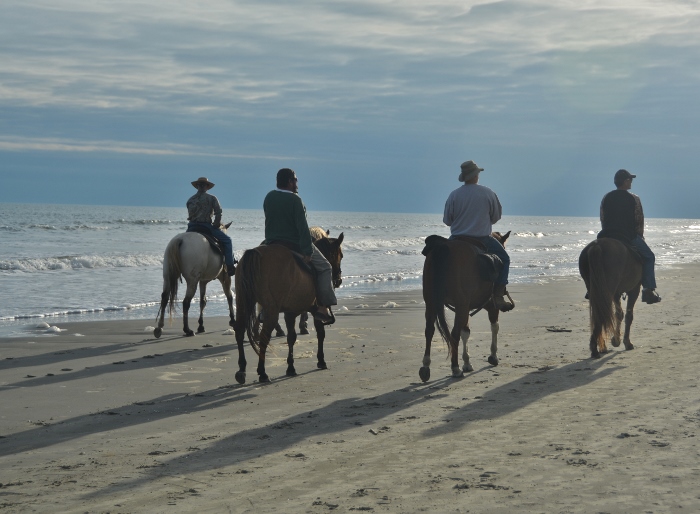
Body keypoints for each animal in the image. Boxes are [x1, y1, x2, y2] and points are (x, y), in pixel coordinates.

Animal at [235, 231, 344, 380]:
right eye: (341, 255)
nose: (338, 280)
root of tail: (255, 253)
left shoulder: (289, 313)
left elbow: (291, 338)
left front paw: (291, 367)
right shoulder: (313, 311)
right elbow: (320, 333)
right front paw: (321, 360)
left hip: (242, 302)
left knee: (240, 331)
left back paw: (242, 369)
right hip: (272, 310)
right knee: (264, 337)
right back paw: (262, 372)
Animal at [418, 231, 512, 380]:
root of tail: (444, 247)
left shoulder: (466, 308)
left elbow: (465, 332)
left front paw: (467, 362)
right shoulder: (491, 306)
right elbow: (494, 327)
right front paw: (493, 356)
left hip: (431, 302)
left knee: (429, 331)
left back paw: (426, 367)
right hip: (460, 305)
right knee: (454, 334)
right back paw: (455, 368)